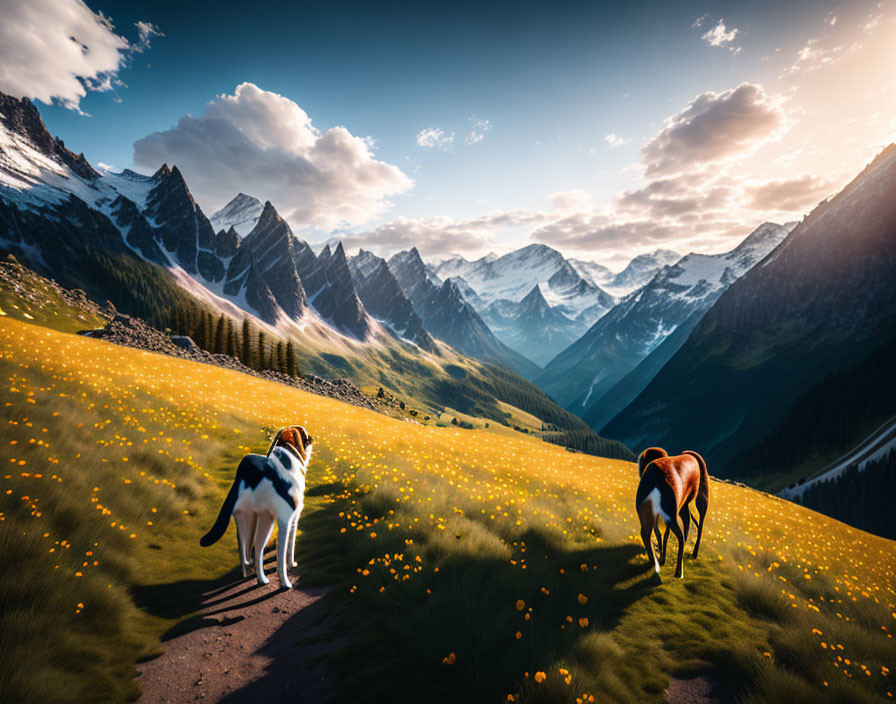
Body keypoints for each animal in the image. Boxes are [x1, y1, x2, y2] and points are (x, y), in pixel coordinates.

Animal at [632, 448, 712, 580]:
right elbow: (661, 535)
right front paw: (661, 556)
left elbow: (662, 535)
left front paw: (662, 557)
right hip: (680, 508)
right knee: (686, 524)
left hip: (699, 500)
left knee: (694, 527)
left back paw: (679, 569)